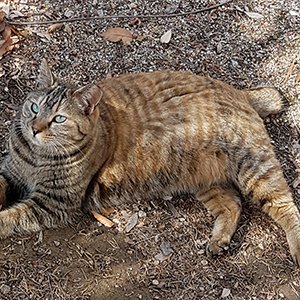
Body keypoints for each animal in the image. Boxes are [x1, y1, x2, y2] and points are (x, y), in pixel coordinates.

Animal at [0, 60, 298, 264]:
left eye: (59, 119)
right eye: (34, 108)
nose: (34, 128)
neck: (36, 157)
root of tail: (240, 91)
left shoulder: (53, 203)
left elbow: (10, 216)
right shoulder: (11, 173)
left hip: (255, 168)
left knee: (286, 206)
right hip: (207, 180)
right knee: (233, 205)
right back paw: (219, 240)